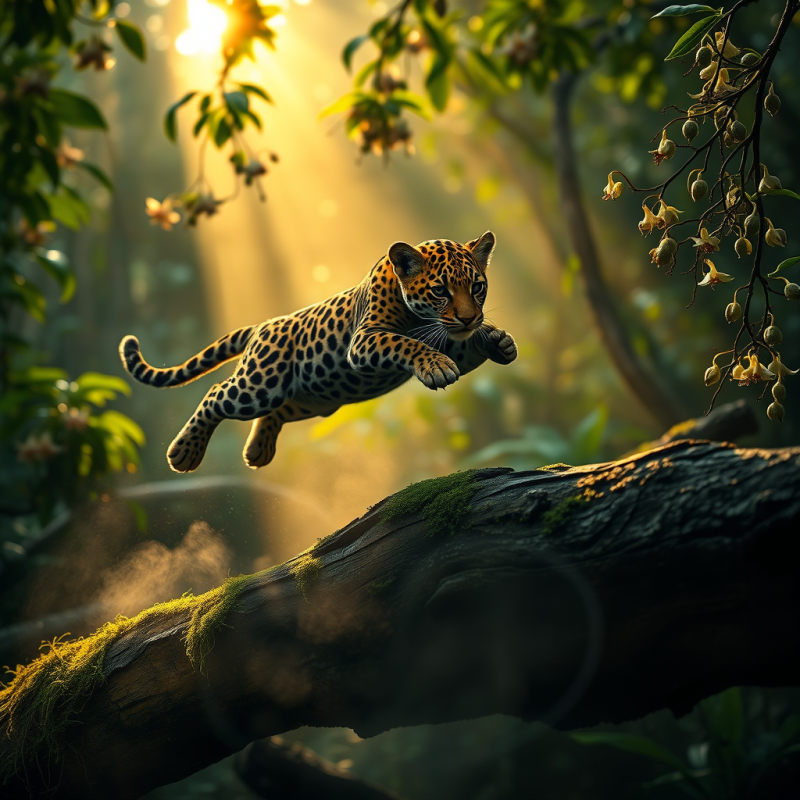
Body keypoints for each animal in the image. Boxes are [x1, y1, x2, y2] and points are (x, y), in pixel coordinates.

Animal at [119, 231, 517, 473]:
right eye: (439, 291)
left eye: (478, 287)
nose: (469, 316)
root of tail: (264, 325)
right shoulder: (365, 339)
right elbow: (405, 342)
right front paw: (435, 365)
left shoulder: (451, 335)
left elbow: (464, 345)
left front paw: (498, 340)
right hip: (259, 385)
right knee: (217, 393)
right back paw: (184, 452)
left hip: (315, 398)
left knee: (277, 411)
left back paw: (257, 449)